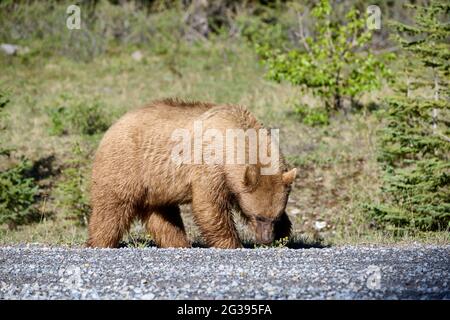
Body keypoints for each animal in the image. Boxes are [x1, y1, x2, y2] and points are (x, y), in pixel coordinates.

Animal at [86, 99, 298, 249]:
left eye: (273, 217)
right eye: (258, 217)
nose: (266, 239)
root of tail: (112, 127)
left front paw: (284, 233)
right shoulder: (210, 167)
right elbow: (210, 205)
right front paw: (232, 243)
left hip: (156, 184)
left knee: (163, 216)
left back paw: (179, 243)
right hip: (126, 166)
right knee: (112, 208)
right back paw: (99, 242)